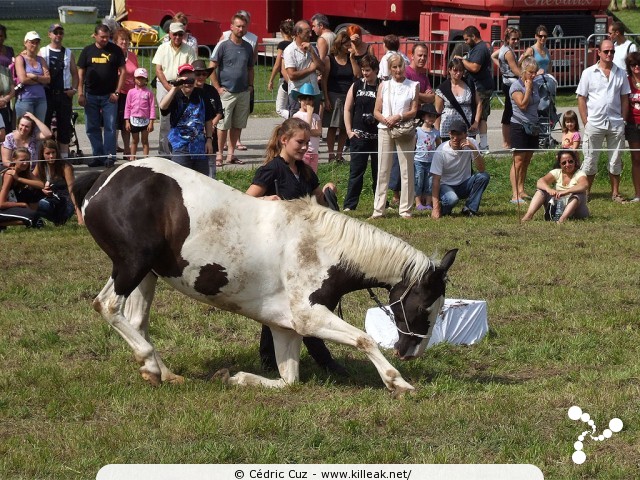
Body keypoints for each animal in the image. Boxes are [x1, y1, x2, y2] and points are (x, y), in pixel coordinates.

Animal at [74, 159, 456, 396]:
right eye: (424, 306)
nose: (411, 352)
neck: (321, 247)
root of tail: (105, 178)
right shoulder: (308, 317)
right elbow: (364, 340)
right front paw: (398, 383)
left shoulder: (285, 327)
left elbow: (289, 381)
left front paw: (235, 378)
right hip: (131, 264)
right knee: (107, 306)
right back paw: (150, 364)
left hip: (147, 274)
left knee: (136, 320)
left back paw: (162, 372)